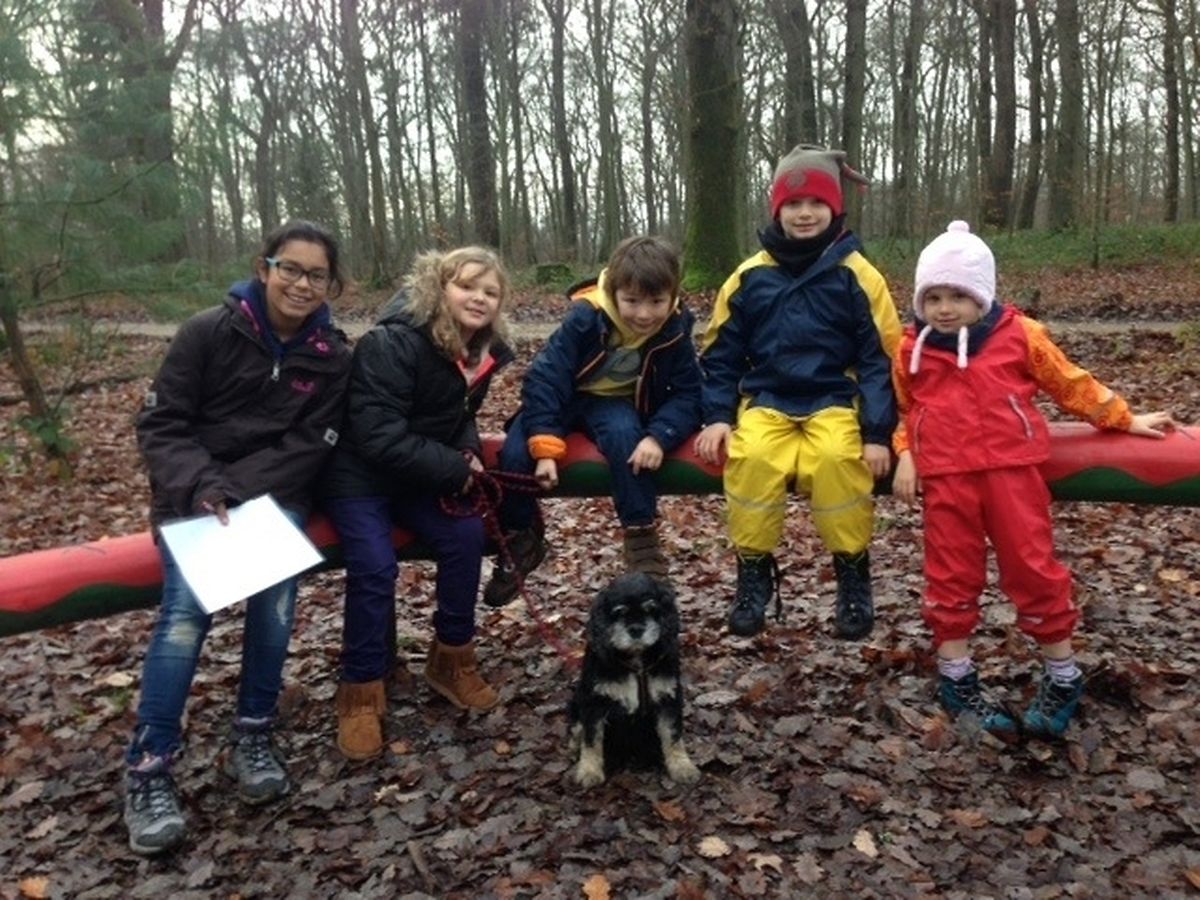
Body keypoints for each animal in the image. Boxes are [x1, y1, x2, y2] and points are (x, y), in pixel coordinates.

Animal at [567, 572, 701, 787]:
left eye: (651, 609)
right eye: (619, 612)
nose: (636, 629)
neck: (637, 660)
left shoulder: (668, 698)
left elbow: (673, 735)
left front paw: (683, 767)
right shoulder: (594, 703)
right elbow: (591, 738)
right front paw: (589, 771)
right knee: (577, 729)